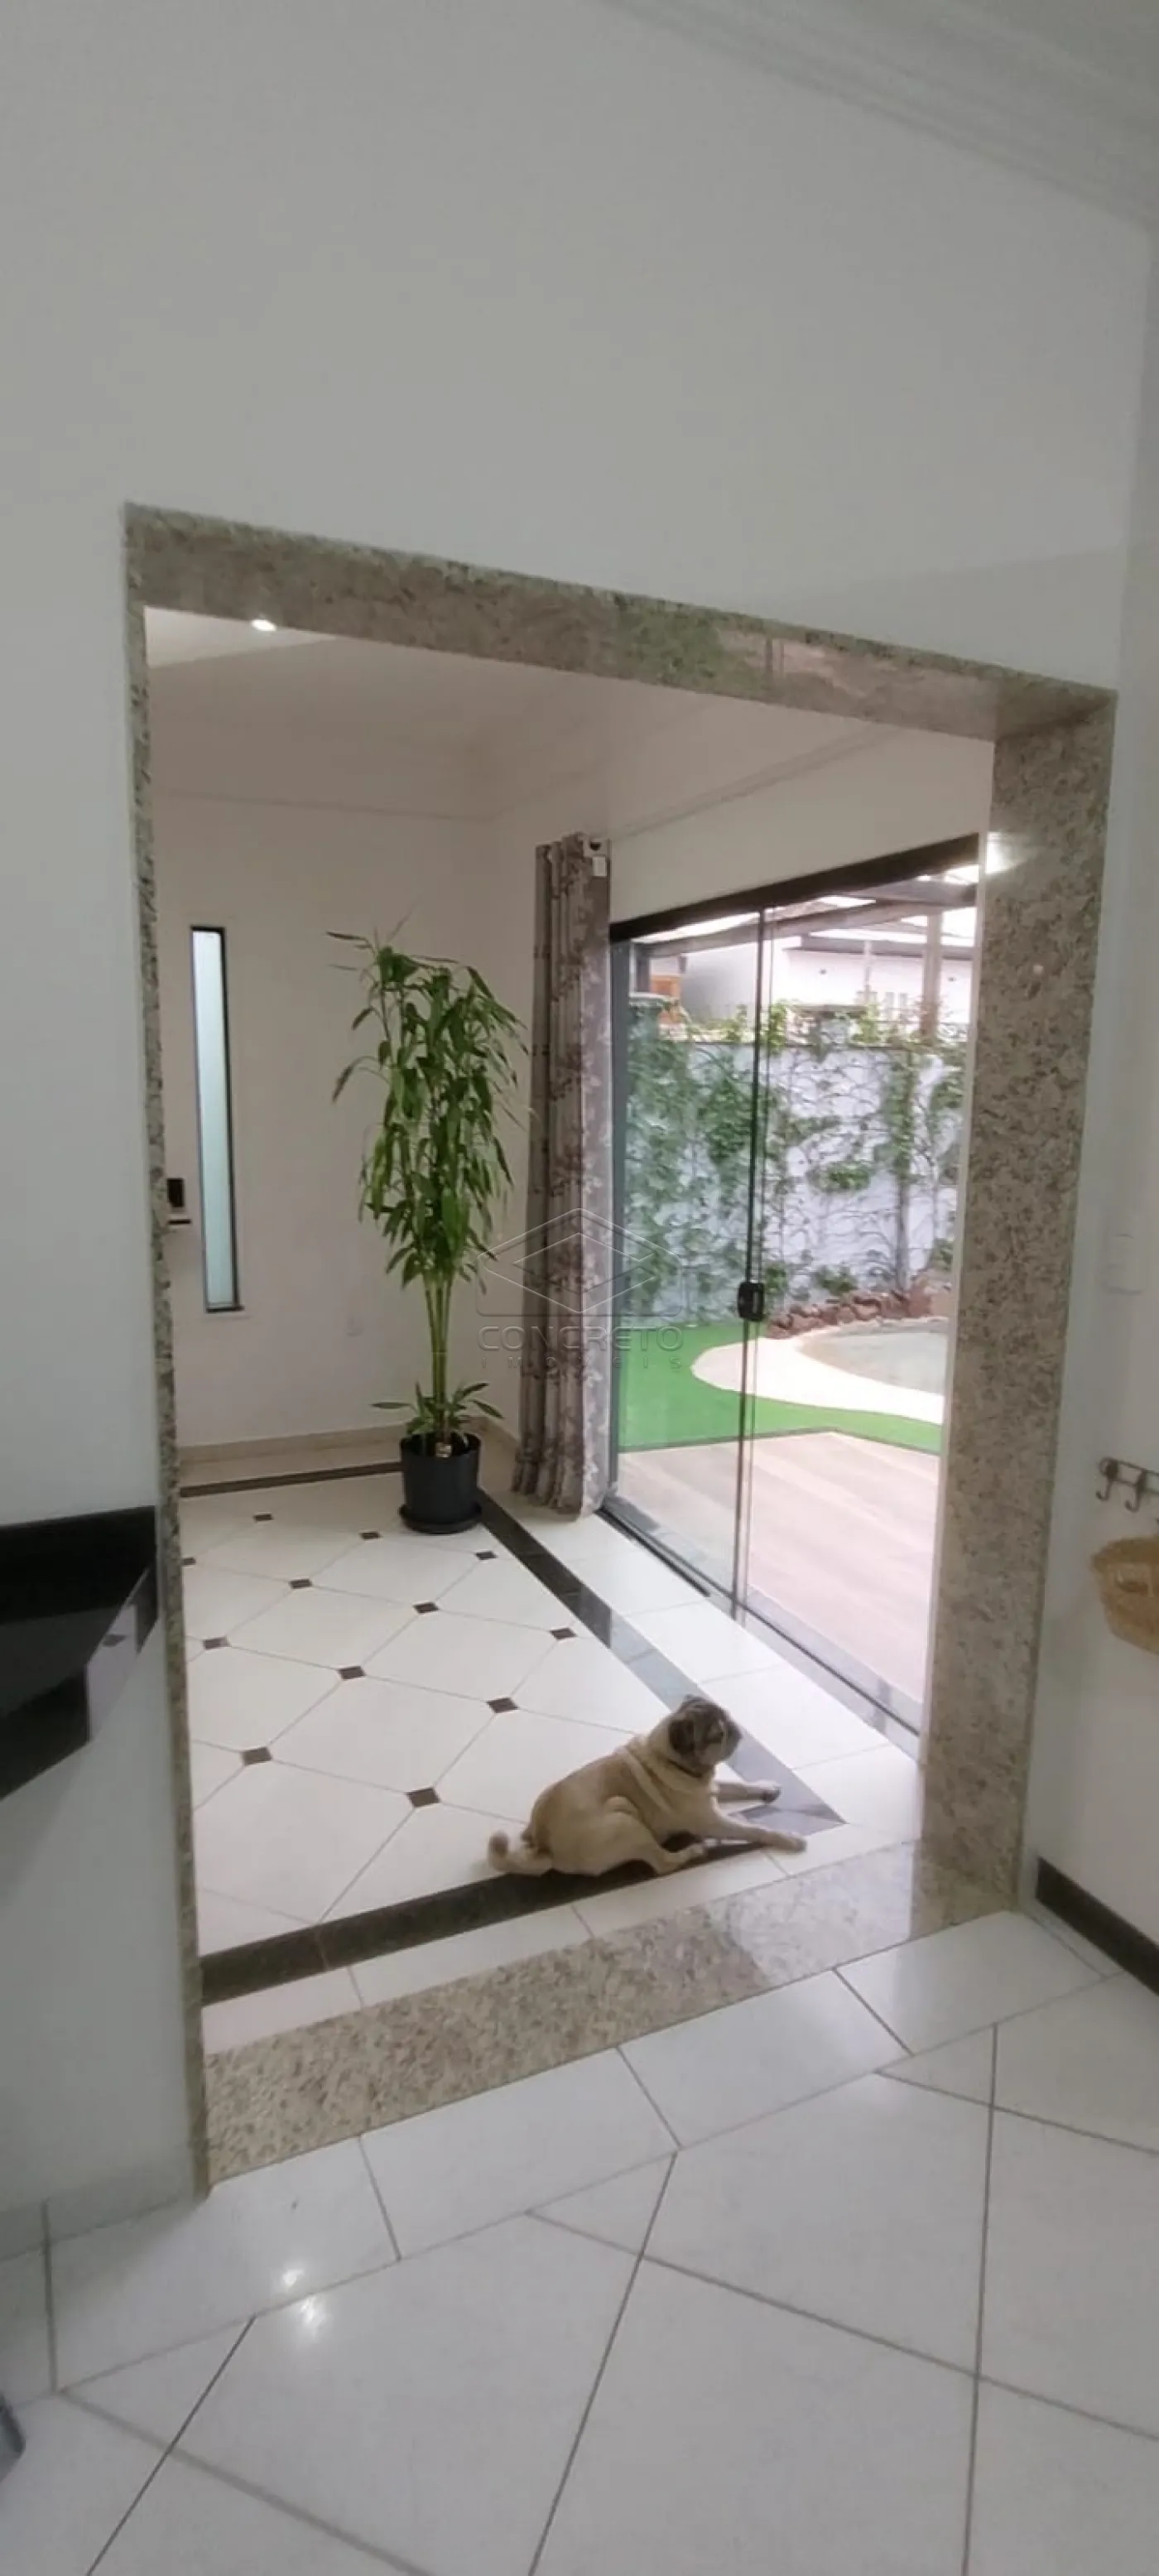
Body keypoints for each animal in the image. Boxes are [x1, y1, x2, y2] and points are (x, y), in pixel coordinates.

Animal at [487, 1693, 807, 1880]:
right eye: (717, 1735)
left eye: (727, 1716)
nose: (734, 1728)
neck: (669, 1758)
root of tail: (544, 1846)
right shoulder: (713, 1821)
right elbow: (756, 1829)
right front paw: (788, 1837)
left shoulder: (711, 1789)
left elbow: (738, 1786)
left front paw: (764, 1787)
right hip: (624, 1819)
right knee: (662, 1864)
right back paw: (692, 1852)